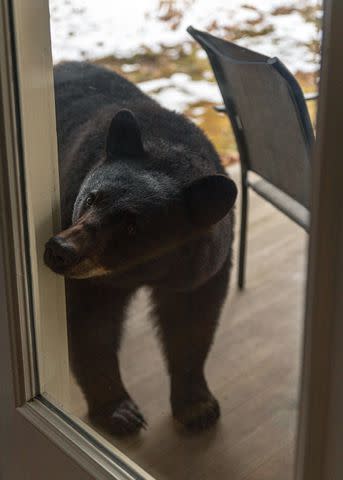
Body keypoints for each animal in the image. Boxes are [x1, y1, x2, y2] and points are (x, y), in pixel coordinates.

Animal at [44, 61, 236, 436]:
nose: (60, 249)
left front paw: (197, 406)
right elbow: (91, 326)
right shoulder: (92, 280)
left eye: (132, 227)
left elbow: (192, 320)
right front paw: (119, 410)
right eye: (91, 197)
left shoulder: (202, 268)